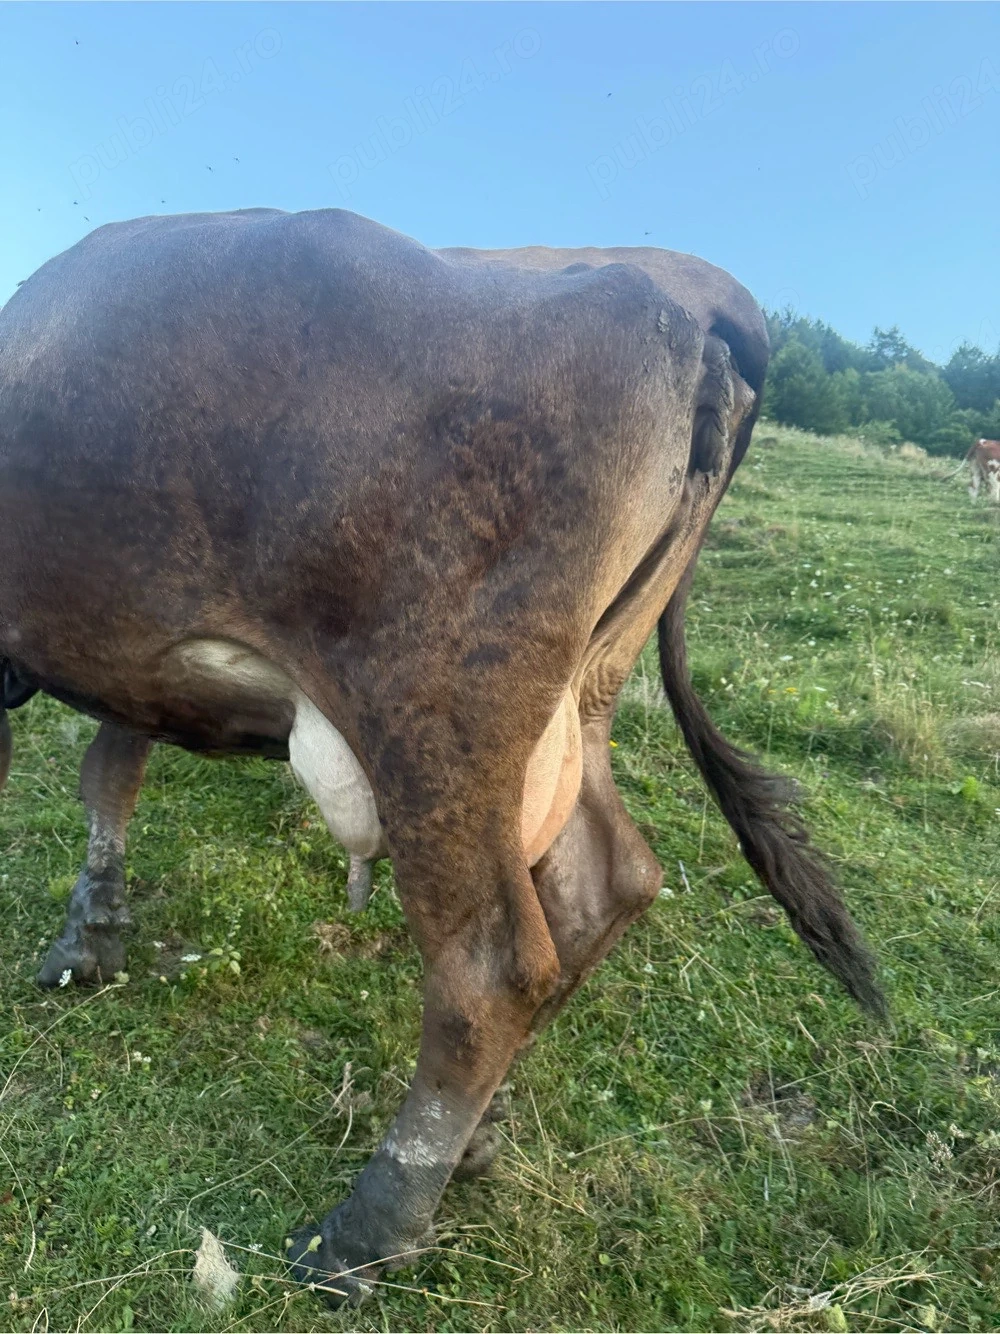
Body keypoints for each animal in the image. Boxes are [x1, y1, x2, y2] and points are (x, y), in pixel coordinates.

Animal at [0, 209, 884, 1304]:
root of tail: (688, 292)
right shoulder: (136, 650)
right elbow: (111, 772)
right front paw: (93, 936)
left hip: (437, 713)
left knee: (491, 965)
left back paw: (368, 1227)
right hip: (575, 701)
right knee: (603, 884)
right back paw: (474, 1138)